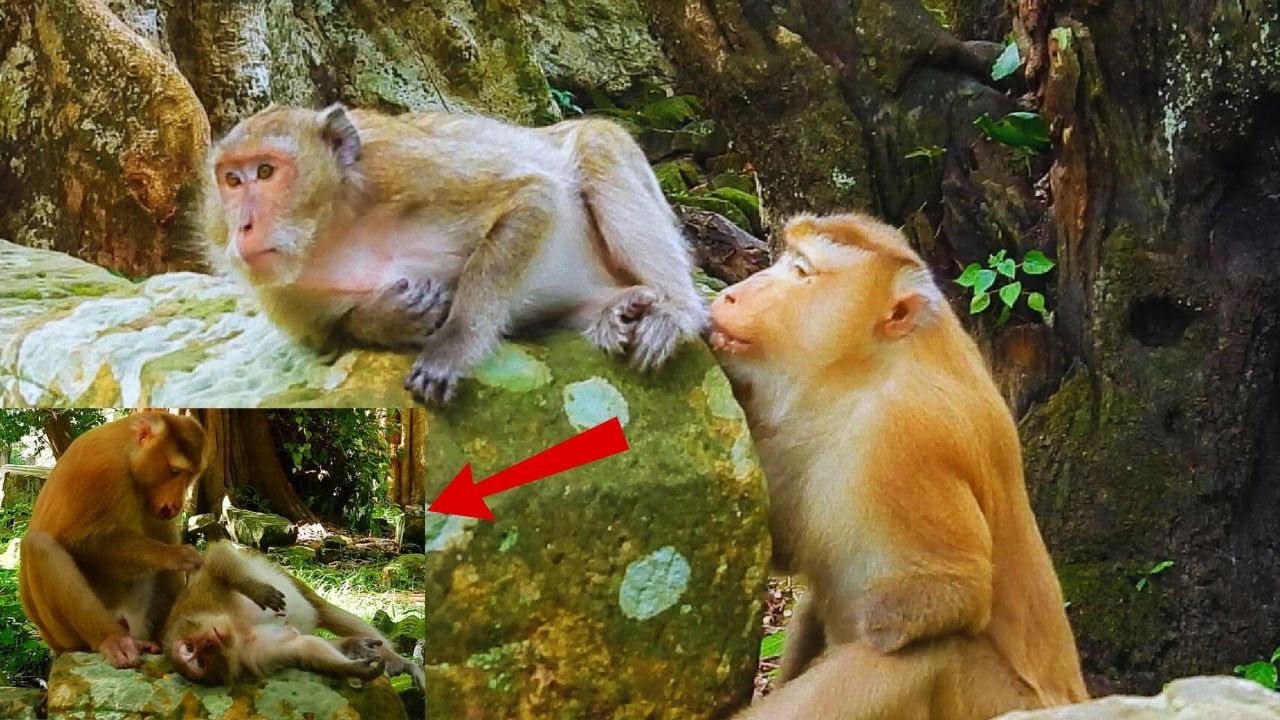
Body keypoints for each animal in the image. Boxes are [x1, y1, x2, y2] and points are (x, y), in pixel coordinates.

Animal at [19, 412, 207, 669]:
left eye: (190, 476)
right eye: (175, 472)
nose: (177, 504)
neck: (125, 453)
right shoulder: (102, 467)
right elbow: (81, 542)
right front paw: (175, 555)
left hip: (136, 618)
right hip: (60, 635)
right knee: (38, 545)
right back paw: (112, 639)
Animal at [163, 540, 424, 689]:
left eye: (190, 648)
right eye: (198, 659)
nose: (208, 641)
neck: (237, 628)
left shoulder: (200, 601)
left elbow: (216, 559)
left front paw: (257, 590)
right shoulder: (252, 657)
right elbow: (303, 647)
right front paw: (356, 668)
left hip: (296, 585)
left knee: (330, 612)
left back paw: (402, 662)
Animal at [201, 104, 708, 403]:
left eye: (267, 171)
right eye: (232, 179)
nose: (244, 226)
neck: (334, 226)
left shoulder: (406, 166)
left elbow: (532, 196)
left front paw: (454, 344)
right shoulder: (281, 294)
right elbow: (329, 337)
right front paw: (391, 315)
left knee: (598, 144)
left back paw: (676, 311)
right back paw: (618, 311)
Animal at [708, 213, 1086, 718]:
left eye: (802, 272)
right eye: (789, 261)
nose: (732, 294)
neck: (863, 377)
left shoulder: (906, 436)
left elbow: (951, 597)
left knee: (923, 656)